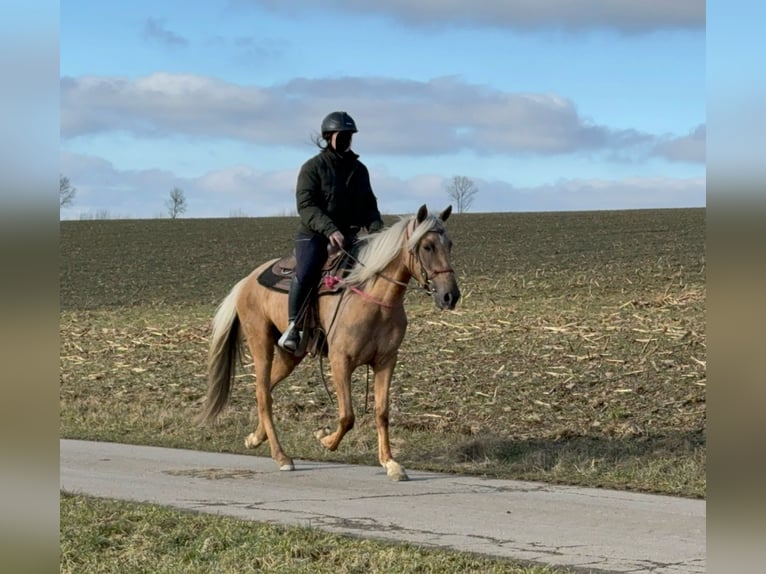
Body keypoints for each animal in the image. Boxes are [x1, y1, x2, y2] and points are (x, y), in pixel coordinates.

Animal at [198, 205, 462, 484]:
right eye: (427, 247)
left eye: (449, 244)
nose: (450, 296)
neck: (375, 299)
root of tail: (246, 281)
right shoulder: (340, 361)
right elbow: (347, 416)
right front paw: (324, 439)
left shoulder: (386, 361)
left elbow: (381, 412)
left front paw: (390, 463)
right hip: (261, 344)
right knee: (262, 393)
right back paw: (281, 456)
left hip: (291, 355)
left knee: (266, 390)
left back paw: (255, 439)